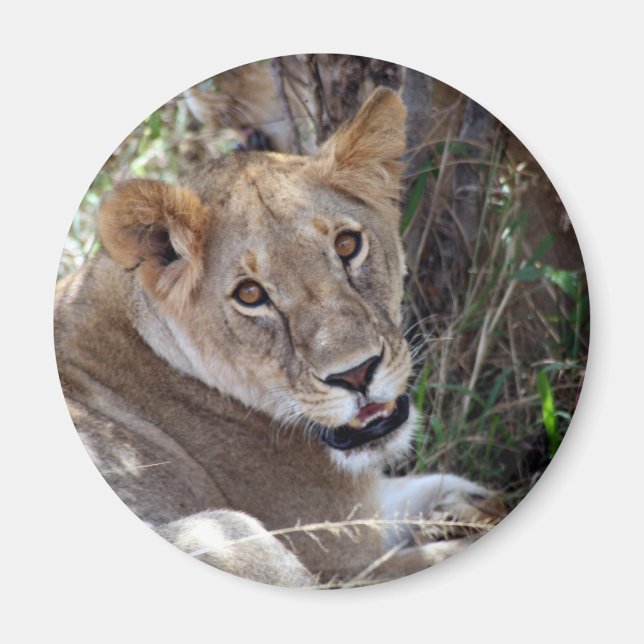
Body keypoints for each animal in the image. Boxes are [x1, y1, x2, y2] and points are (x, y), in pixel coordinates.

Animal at [55, 87, 503, 588]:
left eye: (347, 245)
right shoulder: (342, 554)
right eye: (251, 294)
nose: (357, 374)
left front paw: (465, 500)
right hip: (228, 534)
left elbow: (419, 487)